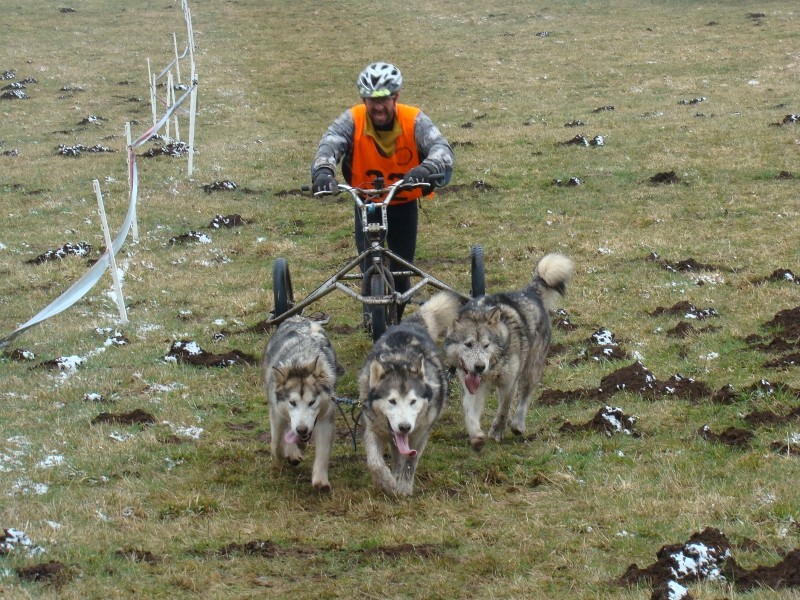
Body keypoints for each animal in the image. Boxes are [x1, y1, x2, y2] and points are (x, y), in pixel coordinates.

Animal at [264, 316, 342, 490]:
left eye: (312, 402)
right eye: (292, 402)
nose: (302, 429)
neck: (299, 362)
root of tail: (299, 317)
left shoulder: (325, 418)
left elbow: (323, 451)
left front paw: (321, 481)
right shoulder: (277, 412)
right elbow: (277, 443)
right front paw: (287, 452)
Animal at [360, 292, 460, 496]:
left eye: (413, 401)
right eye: (391, 401)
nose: (405, 427)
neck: (400, 360)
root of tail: (409, 325)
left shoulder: (420, 434)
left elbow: (410, 462)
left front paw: (403, 487)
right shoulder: (372, 428)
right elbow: (375, 463)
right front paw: (386, 482)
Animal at [444, 253, 576, 450]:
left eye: (486, 345)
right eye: (468, 344)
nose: (479, 367)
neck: (492, 366)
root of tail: (529, 292)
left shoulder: (509, 383)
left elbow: (504, 410)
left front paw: (498, 431)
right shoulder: (473, 386)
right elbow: (470, 413)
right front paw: (477, 436)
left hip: (531, 369)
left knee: (525, 396)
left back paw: (517, 424)